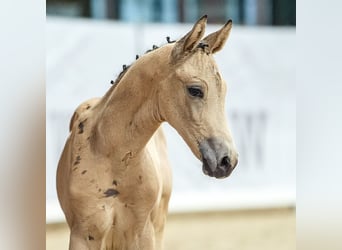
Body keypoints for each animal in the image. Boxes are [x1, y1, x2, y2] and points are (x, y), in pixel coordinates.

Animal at [56, 15, 238, 250]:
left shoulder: (143, 234)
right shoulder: (83, 236)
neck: (109, 154)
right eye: (195, 90)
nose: (227, 160)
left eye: (223, 90)